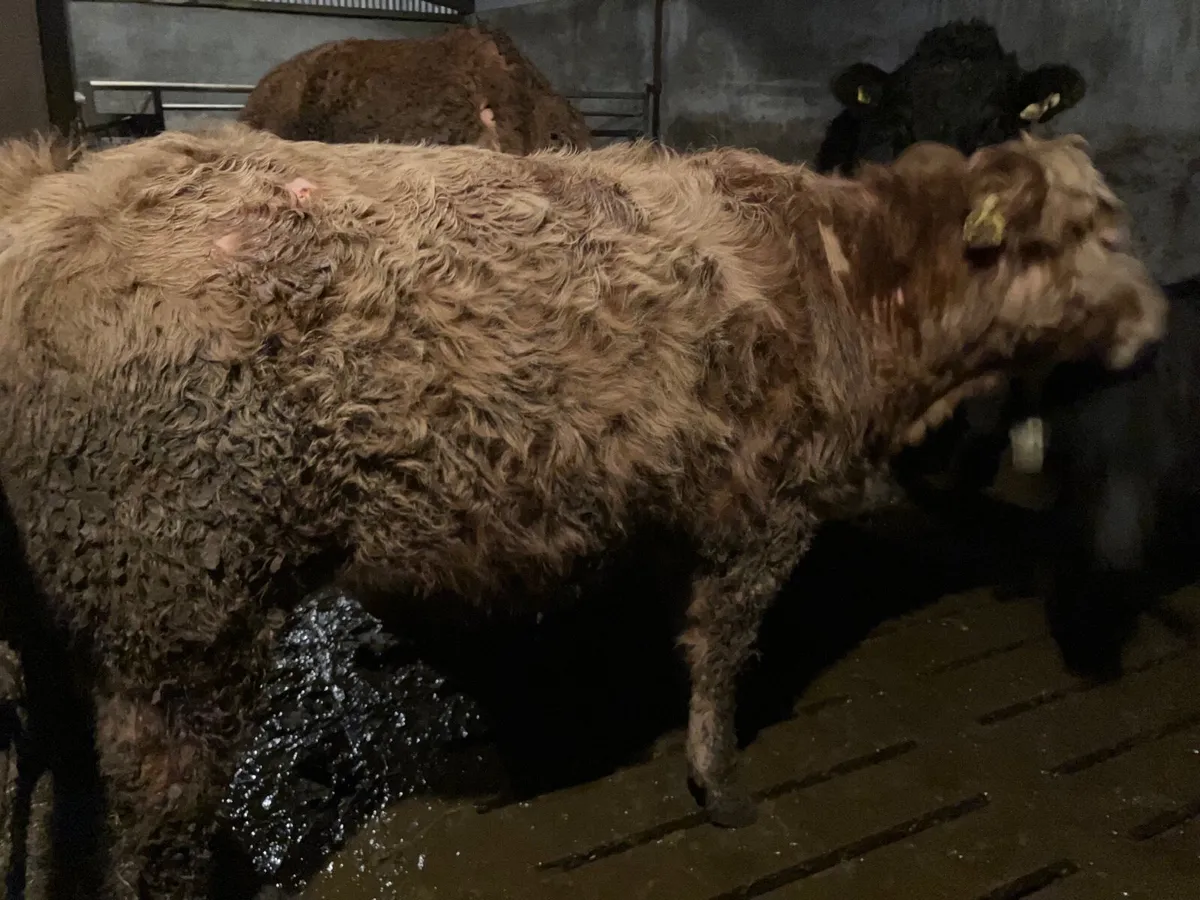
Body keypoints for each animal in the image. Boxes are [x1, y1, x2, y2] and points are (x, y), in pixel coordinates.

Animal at [0, 125, 1165, 895]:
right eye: (1088, 232)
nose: (1155, 322)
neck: (852, 282)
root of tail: (59, 195)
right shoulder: (765, 510)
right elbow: (721, 653)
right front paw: (720, 782)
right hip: (176, 609)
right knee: (153, 821)